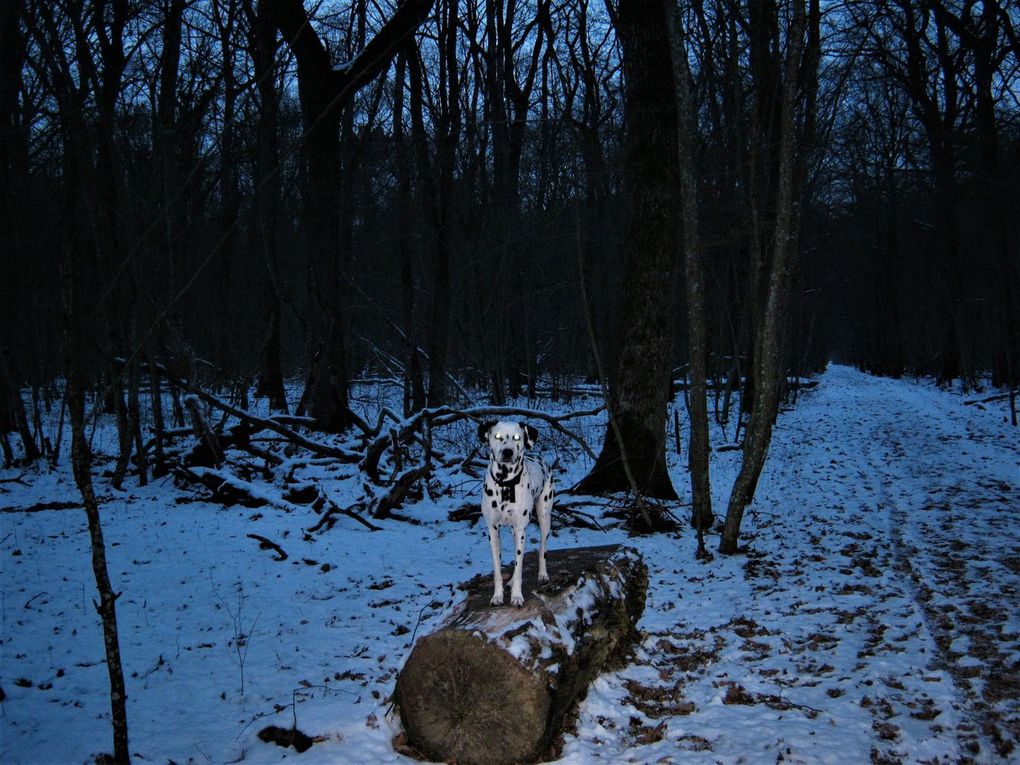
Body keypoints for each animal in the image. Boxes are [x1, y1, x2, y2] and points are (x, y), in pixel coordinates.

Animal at [475, 422, 554, 607]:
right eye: (497, 436)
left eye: (517, 437)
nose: (508, 452)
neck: (505, 485)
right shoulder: (493, 531)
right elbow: (498, 569)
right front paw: (497, 596)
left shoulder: (520, 529)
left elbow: (519, 568)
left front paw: (517, 596)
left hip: (544, 517)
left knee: (542, 549)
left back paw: (543, 574)